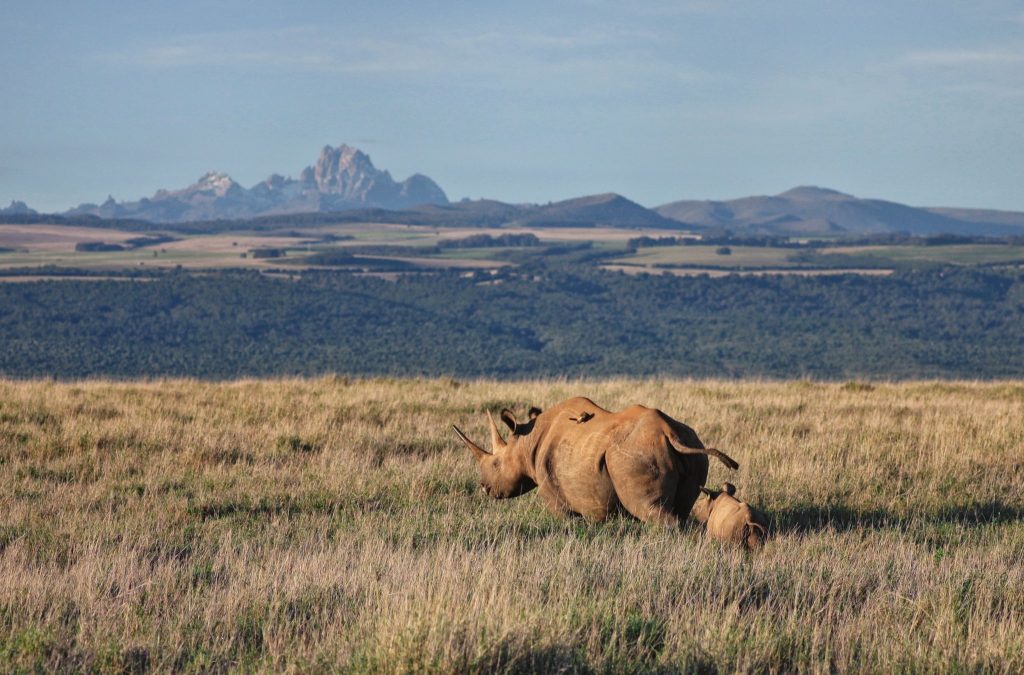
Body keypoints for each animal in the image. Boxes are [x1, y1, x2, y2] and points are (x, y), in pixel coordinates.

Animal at [451, 396, 739, 527]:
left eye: (496, 464)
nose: (484, 488)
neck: (526, 441)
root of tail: (669, 433)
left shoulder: (551, 489)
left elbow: (565, 518)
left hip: (636, 453)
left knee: (652, 510)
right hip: (693, 448)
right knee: (682, 508)